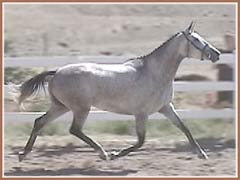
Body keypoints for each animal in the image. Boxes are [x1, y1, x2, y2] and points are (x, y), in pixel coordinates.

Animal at [17, 22, 220, 162]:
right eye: (195, 40)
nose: (216, 54)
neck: (154, 72)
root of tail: (57, 71)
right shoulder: (141, 114)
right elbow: (141, 141)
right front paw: (116, 154)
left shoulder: (166, 108)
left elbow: (184, 127)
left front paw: (201, 153)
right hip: (81, 108)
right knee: (74, 129)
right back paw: (103, 153)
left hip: (61, 107)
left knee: (39, 122)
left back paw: (23, 154)